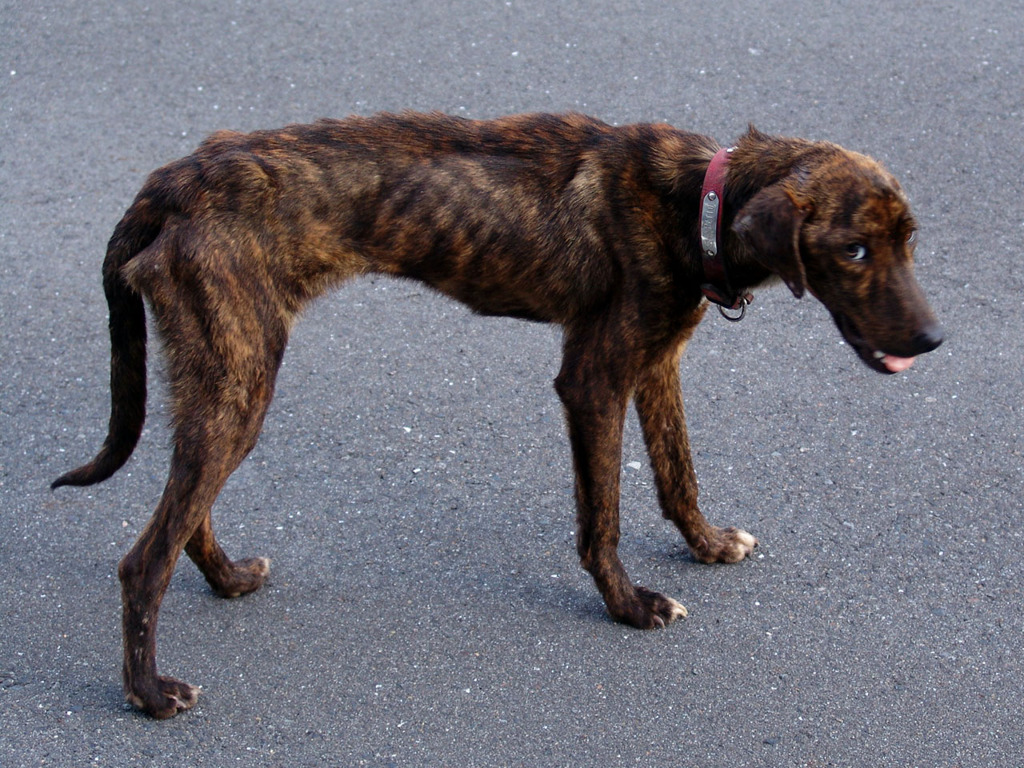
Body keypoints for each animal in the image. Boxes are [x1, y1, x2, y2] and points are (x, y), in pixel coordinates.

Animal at [49, 111, 942, 720]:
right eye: (854, 250)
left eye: (909, 241)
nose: (935, 341)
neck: (698, 201)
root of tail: (178, 174)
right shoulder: (593, 380)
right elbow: (603, 517)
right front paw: (629, 606)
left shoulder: (656, 365)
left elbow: (677, 475)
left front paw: (709, 544)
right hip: (241, 378)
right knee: (144, 559)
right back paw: (147, 692)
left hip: (218, 379)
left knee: (186, 509)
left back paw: (228, 577)